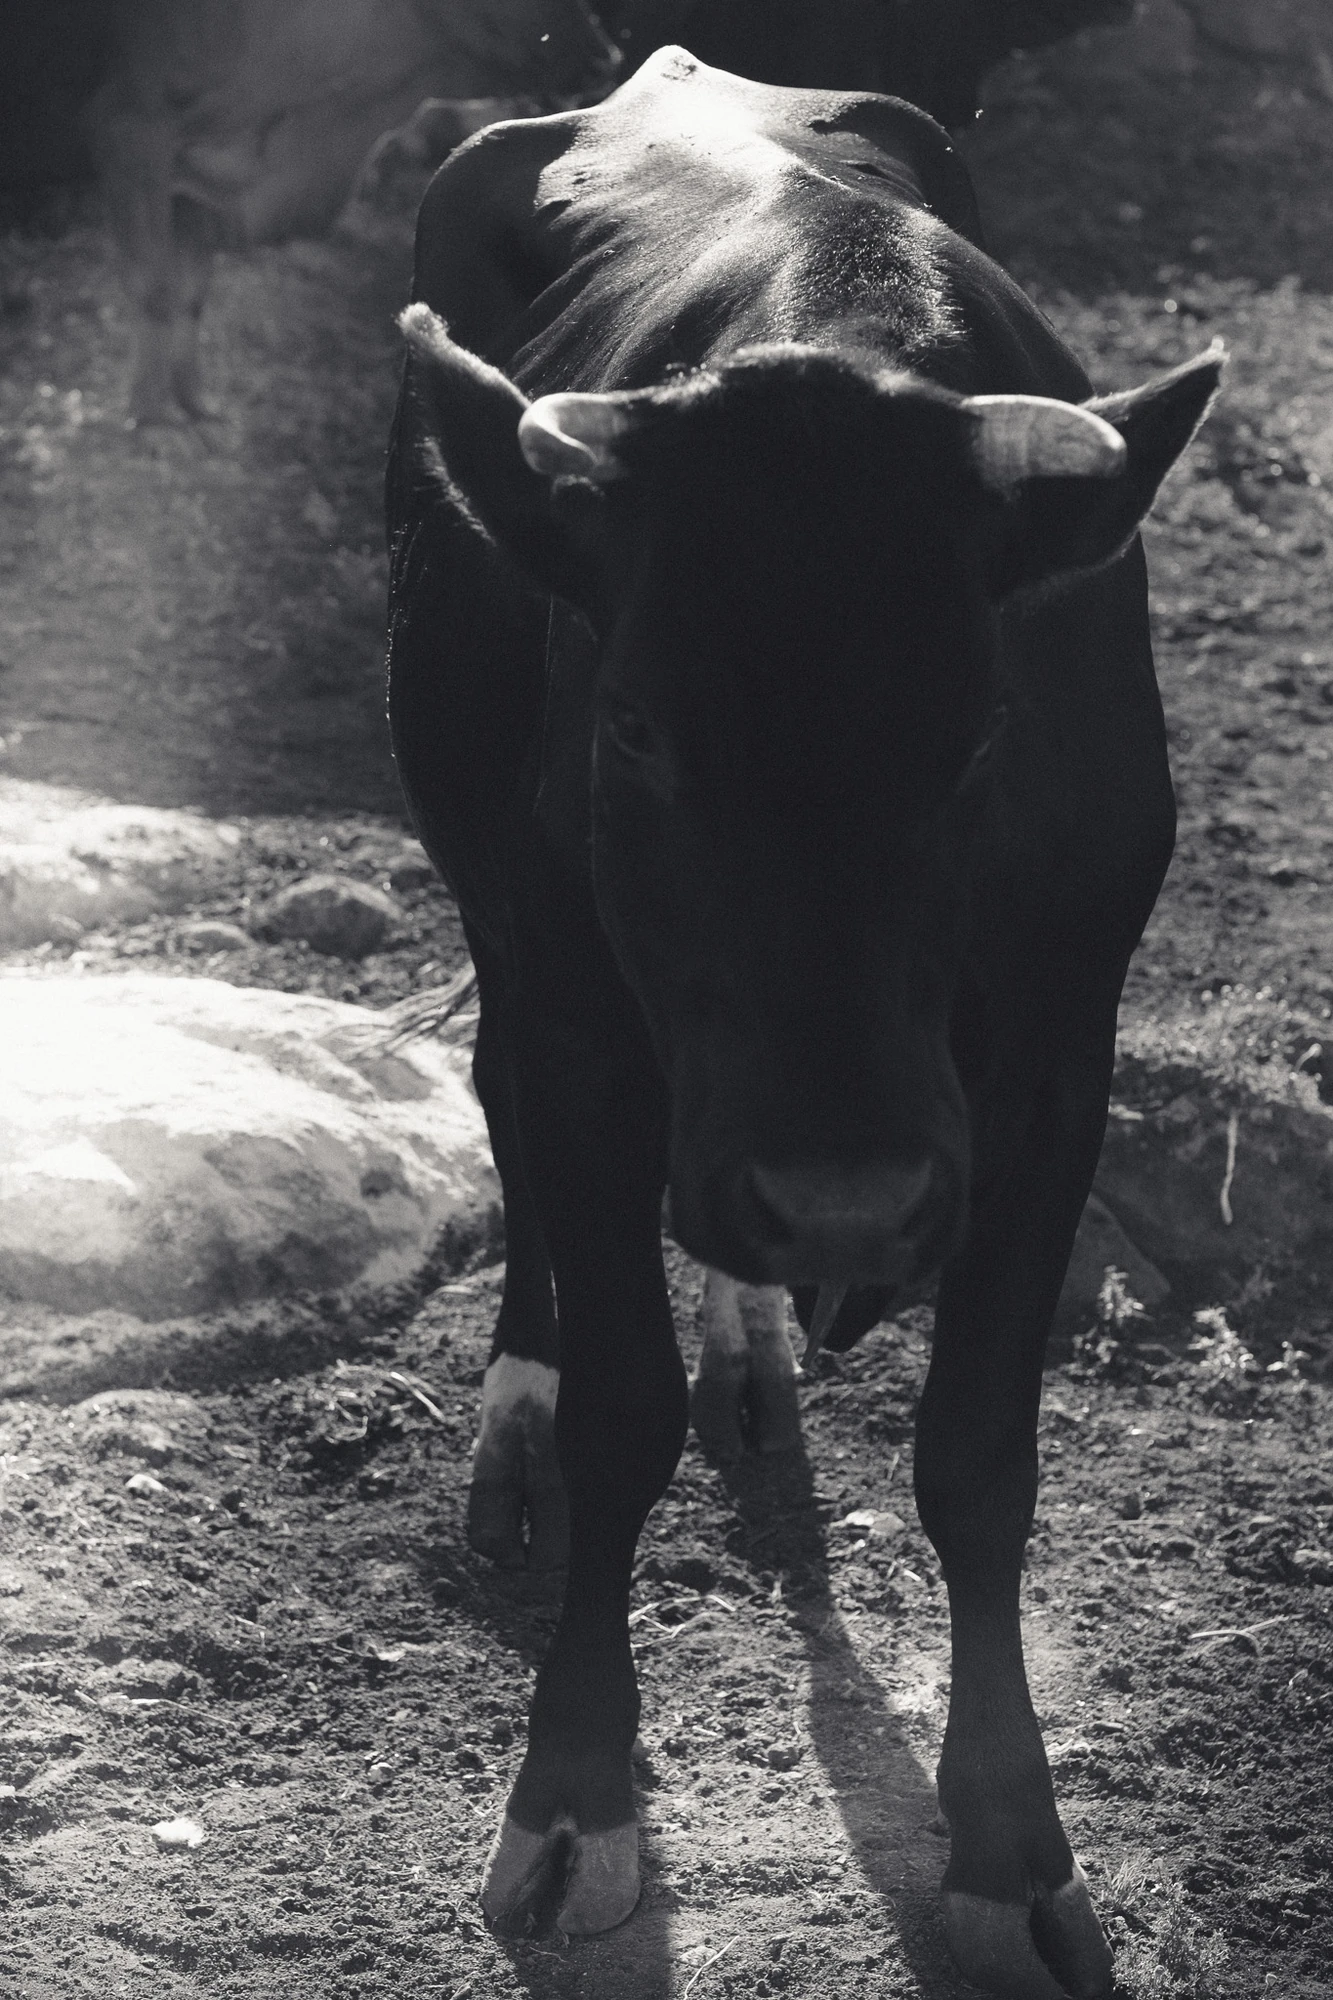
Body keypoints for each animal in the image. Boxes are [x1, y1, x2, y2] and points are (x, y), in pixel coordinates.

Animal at [82, 0, 619, 424]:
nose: (606, 58)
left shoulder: (193, 192)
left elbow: (192, 294)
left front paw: (194, 405)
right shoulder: (134, 141)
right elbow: (156, 289)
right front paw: (149, 414)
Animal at [386, 48, 1218, 1994]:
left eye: (981, 733)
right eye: (634, 729)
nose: (839, 1199)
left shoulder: (1055, 1057)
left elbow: (979, 1455)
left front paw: (1007, 1850)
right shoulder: (590, 1029)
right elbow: (623, 1412)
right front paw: (571, 1801)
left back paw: (758, 1341)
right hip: (497, 906)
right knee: (506, 1117)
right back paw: (520, 1408)